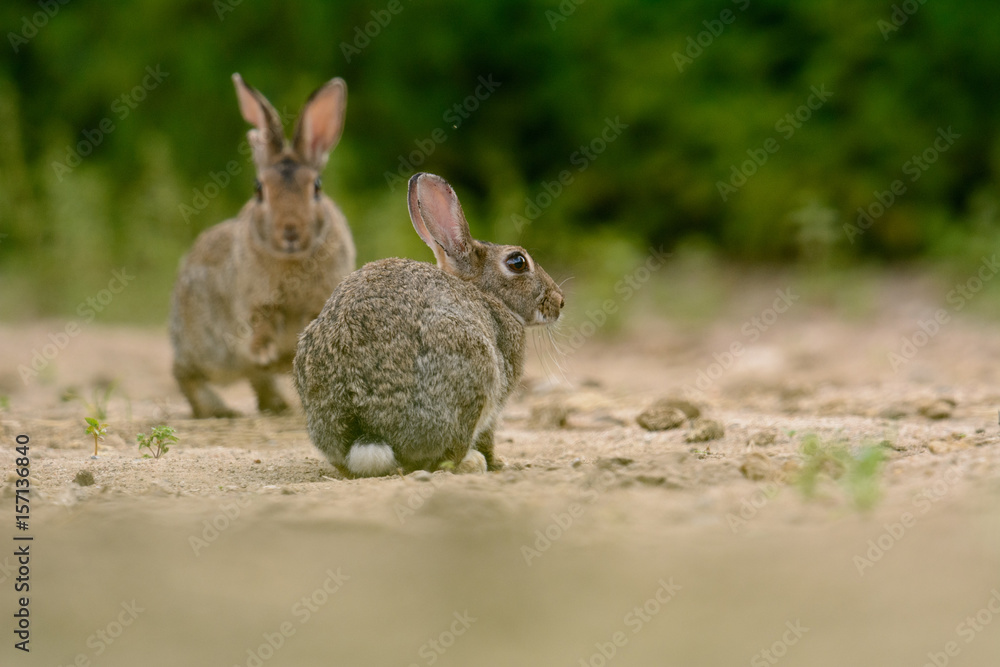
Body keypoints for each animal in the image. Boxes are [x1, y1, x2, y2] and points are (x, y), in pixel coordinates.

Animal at [170, 73, 355, 418]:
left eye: (317, 187)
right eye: (259, 189)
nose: (290, 232)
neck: (292, 259)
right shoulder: (256, 302)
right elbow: (263, 324)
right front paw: (267, 352)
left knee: (256, 379)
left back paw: (277, 404)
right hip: (211, 351)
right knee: (186, 373)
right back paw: (218, 409)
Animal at [293, 172, 565, 477]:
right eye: (517, 262)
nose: (559, 301)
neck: (488, 296)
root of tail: (365, 430)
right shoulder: (497, 398)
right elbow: (489, 436)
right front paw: (499, 462)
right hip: (474, 370)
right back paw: (471, 462)